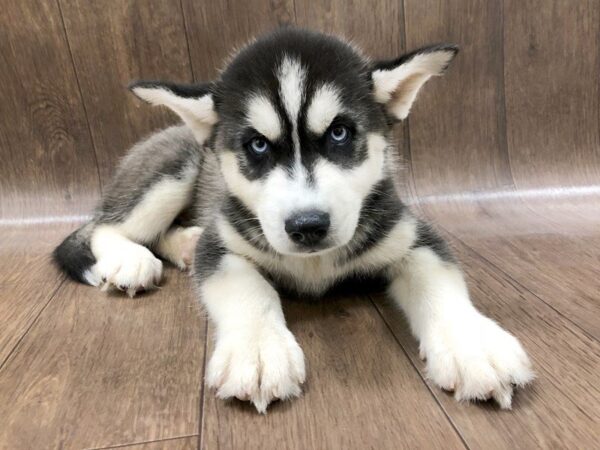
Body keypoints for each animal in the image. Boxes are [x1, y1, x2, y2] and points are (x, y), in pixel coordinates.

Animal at [55, 29, 536, 414]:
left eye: (340, 133)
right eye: (257, 145)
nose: (307, 226)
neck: (314, 262)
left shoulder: (411, 236)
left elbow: (439, 281)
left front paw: (473, 345)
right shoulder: (224, 245)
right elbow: (249, 290)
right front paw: (257, 350)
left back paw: (183, 243)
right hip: (174, 169)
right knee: (107, 226)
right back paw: (129, 259)